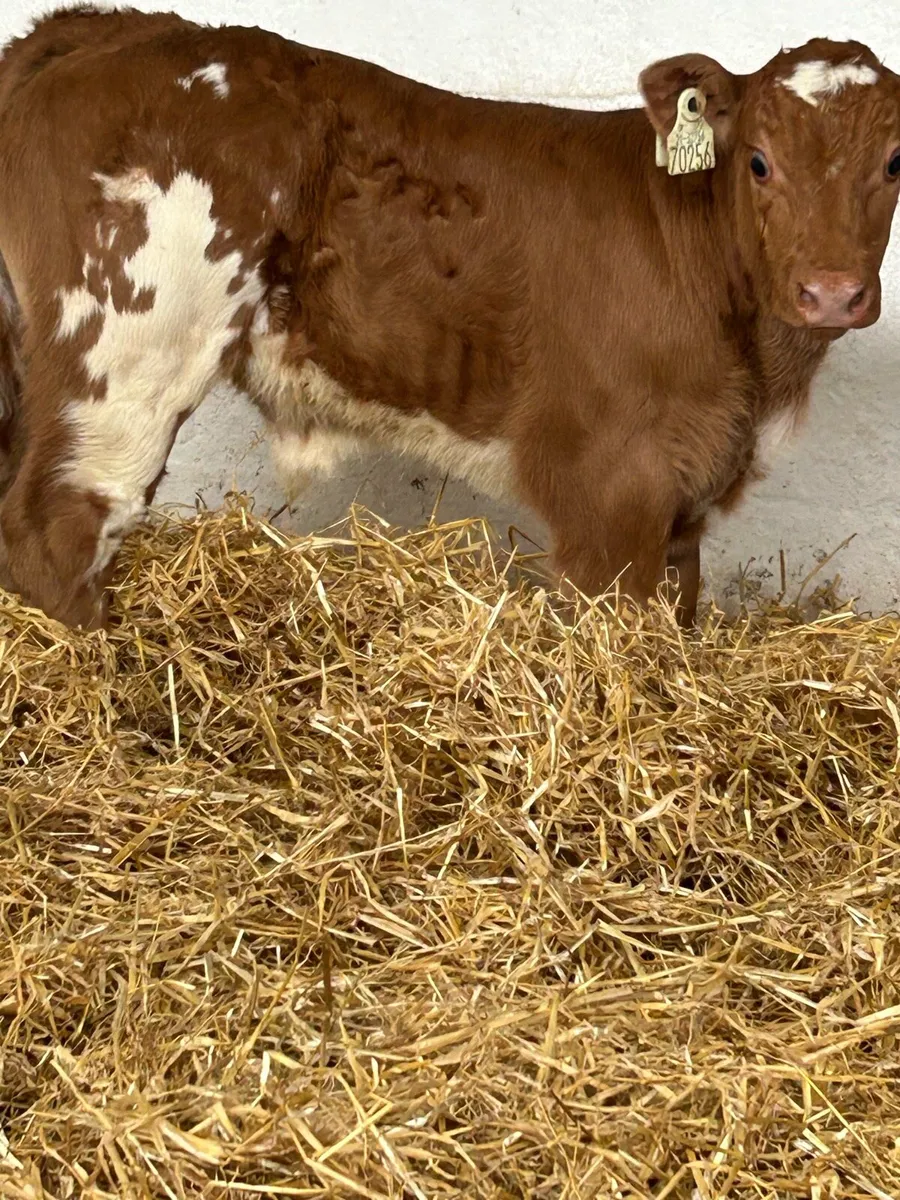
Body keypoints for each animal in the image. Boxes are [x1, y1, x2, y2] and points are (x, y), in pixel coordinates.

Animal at [0, 5, 898, 631]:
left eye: (894, 162)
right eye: (758, 161)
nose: (831, 291)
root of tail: (107, 26)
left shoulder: (687, 492)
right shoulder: (613, 485)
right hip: (126, 349)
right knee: (59, 527)